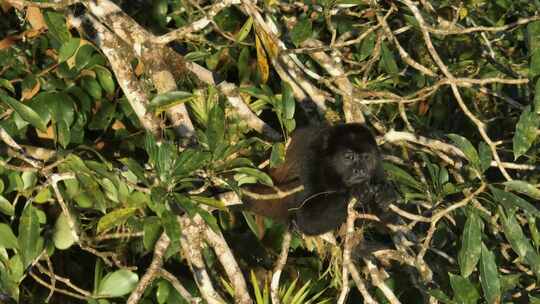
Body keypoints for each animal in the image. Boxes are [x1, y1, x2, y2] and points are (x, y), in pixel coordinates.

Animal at [242, 123, 396, 235]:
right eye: (348, 157)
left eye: (366, 157)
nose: (360, 170)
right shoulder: (311, 159)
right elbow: (307, 219)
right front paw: (355, 191)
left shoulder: (377, 165)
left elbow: (386, 224)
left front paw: (386, 194)